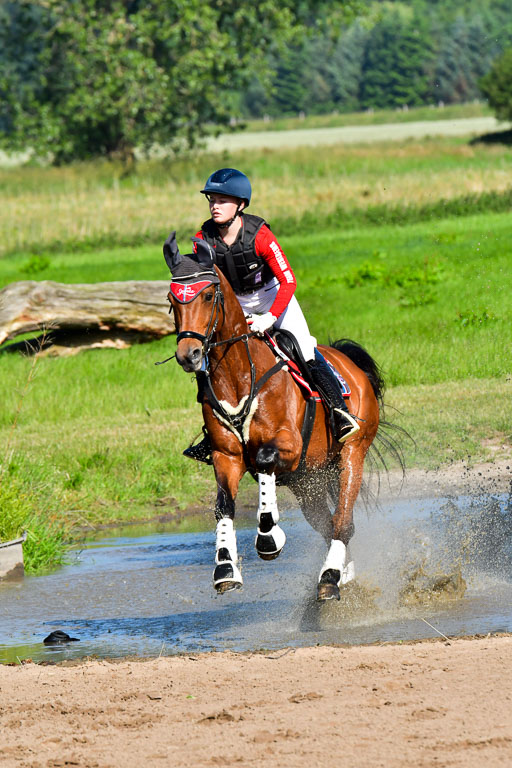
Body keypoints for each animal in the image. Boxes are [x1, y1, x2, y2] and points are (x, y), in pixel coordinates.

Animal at [164, 232, 384, 601]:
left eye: (207, 295)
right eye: (171, 300)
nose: (188, 355)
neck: (238, 375)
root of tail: (348, 362)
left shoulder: (288, 445)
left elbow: (265, 459)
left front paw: (269, 538)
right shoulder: (226, 456)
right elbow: (223, 506)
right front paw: (225, 568)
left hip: (351, 454)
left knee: (342, 520)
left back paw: (330, 577)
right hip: (307, 479)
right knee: (327, 523)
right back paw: (343, 573)